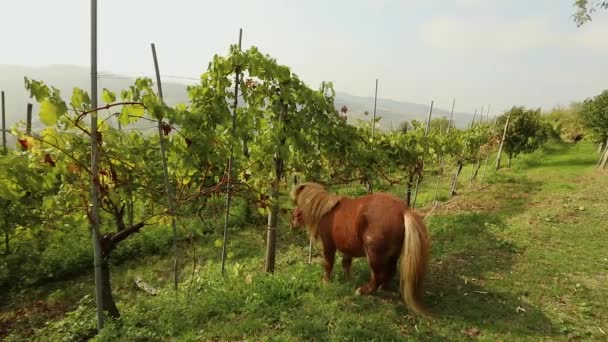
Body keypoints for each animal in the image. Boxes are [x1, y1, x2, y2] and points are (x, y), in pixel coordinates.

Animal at [292, 182, 430, 316]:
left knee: (378, 275)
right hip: (392, 256)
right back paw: (382, 288)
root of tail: (404, 211)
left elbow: (328, 263)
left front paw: (325, 281)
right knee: (390, 272)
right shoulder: (347, 248)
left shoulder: (328, 244)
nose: (292, 223)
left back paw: (362, 291)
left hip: (374, 255)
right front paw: (349, 280)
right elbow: (346, 264)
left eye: (297, 208)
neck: (326, 211)